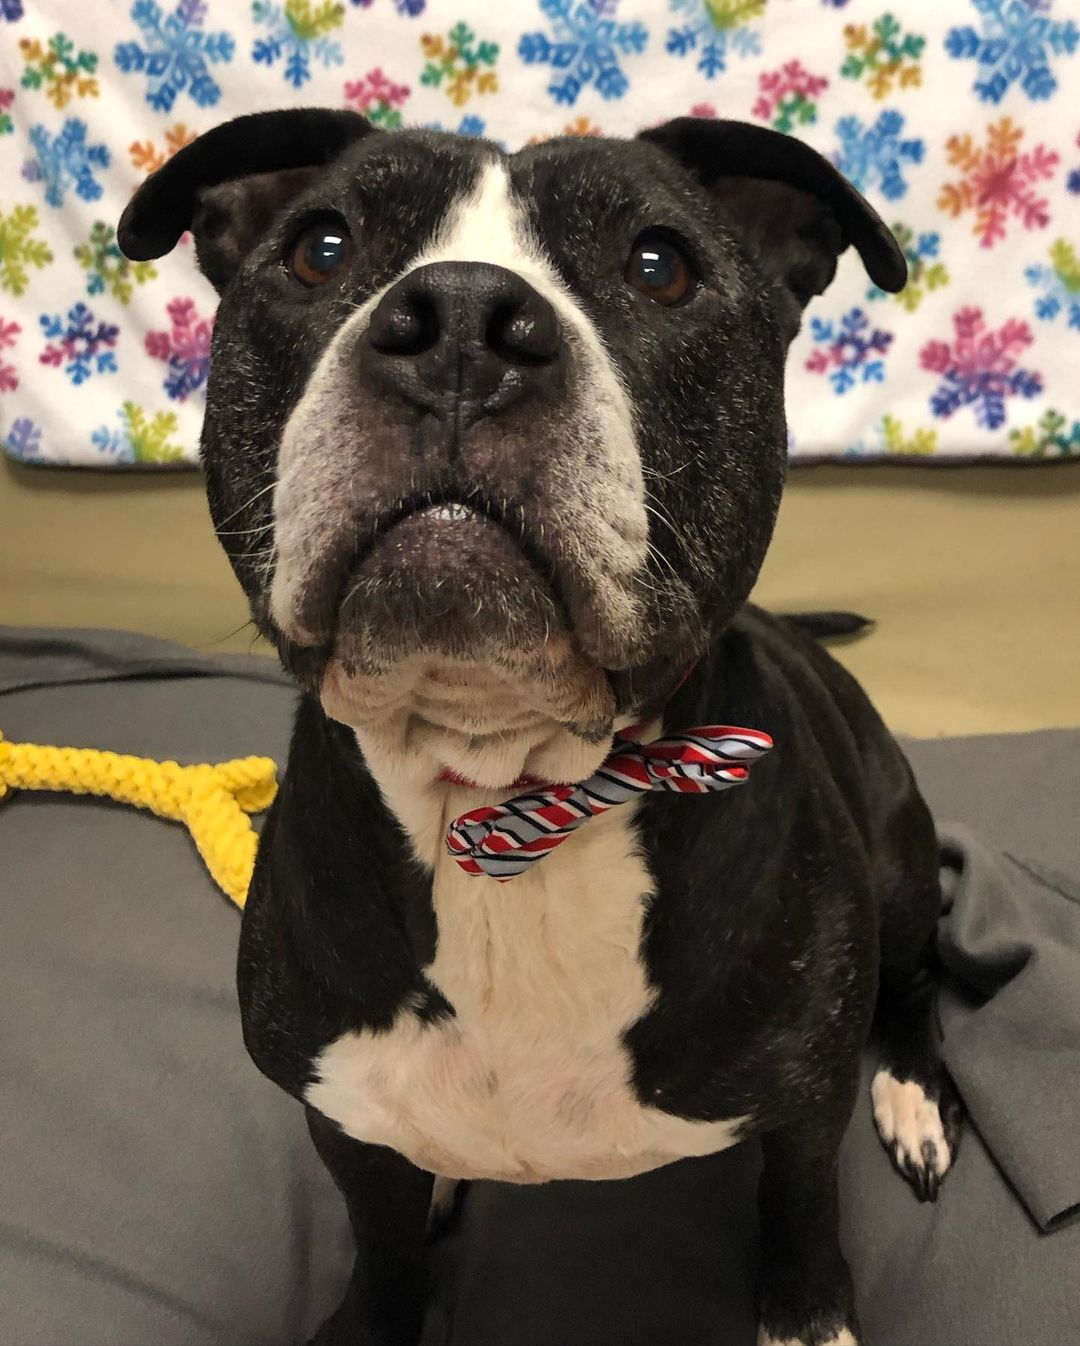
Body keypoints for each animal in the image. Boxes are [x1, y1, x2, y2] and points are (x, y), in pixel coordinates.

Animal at [119, 107, 958, 1346]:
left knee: (919, 978)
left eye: (659, 265)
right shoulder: (339, 1114)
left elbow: (803, 1209)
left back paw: (913, 1091)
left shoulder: (805, 1099)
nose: (462, 321)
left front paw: (808, 1317)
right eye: (321, 247)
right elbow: (381, 1246)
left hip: (900, 868)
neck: (508, 789)